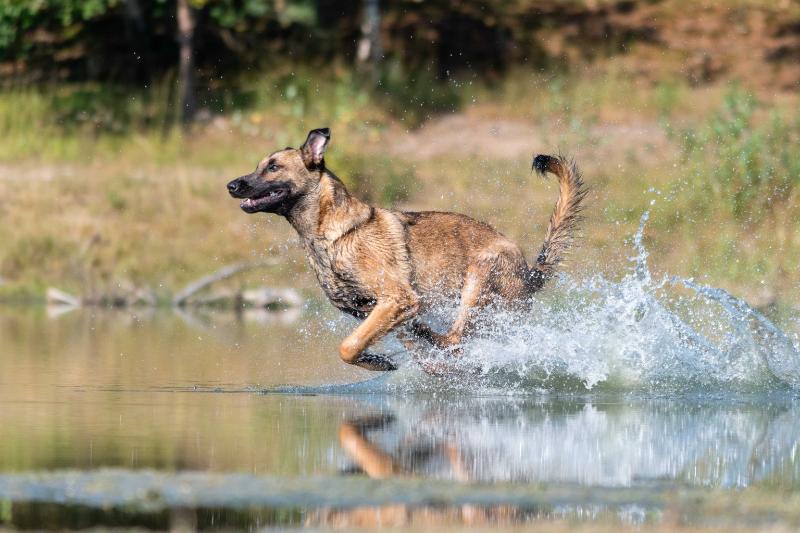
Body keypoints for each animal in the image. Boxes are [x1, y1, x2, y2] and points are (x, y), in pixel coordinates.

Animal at [227, 127, 588, 372]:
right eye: (260, 165)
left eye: (273, 167)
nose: (231, 185)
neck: (330, 234)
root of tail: (530, 274)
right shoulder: (378, 312)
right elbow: (371, 343)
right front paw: (377, 361)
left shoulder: (397, 299)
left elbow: (348, 346)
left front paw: (375, 360)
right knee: (445, 346)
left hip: (479, 275)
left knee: (453, 339)